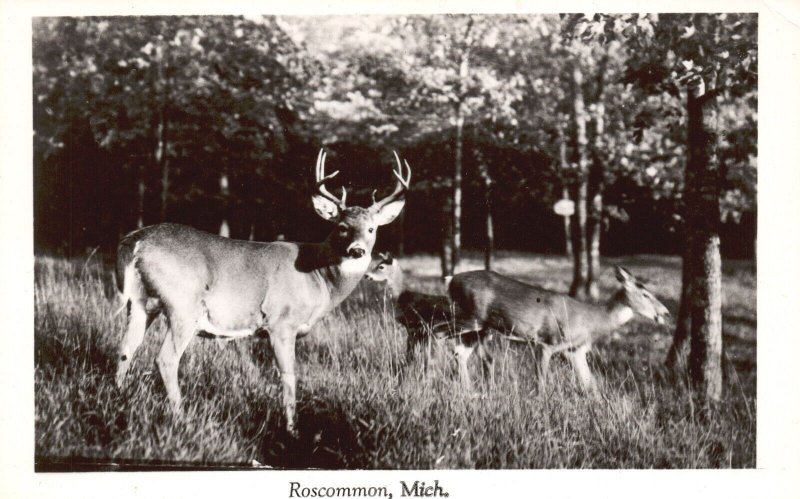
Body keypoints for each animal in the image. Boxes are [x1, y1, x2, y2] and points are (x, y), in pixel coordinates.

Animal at [115, 149, 412, 438]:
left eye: (372, 228)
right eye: (342, 227)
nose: (357, 250)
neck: (319, 280)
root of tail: (136, 240)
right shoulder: (281, 323)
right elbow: (289, 375)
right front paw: (292, 429)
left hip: (142, 303)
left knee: (126, 348)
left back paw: (120, 398)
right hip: (183, 307)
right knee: (165, 359)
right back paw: (181, 418)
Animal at [450, 268, 668, 392]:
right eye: (646, 294)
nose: (665, 313)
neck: (592, 319)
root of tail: (452, 279)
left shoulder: (575, 351)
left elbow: (591, 385)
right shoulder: (546, 342)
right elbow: (541, 383)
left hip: (477, 329)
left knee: (461, 353)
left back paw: (469, 393)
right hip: (469, 319)